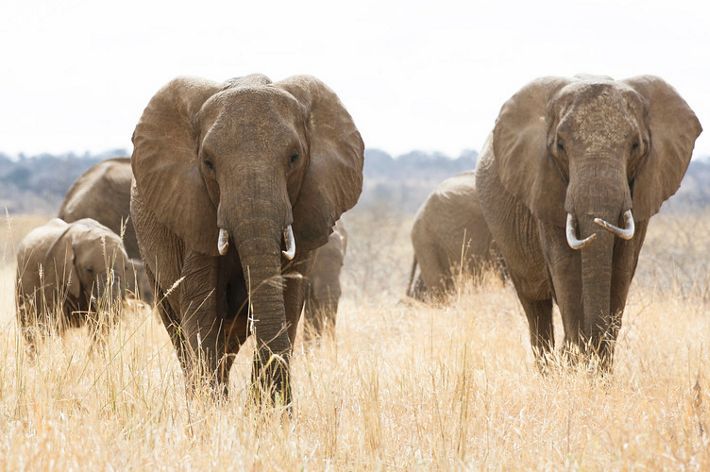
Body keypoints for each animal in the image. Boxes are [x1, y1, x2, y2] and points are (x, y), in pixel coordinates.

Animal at [15, 218, 130, 351]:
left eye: (126, 268)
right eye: (88, 269)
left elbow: (97, 326)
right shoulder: (53, 272)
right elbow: (56, 320)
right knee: (30, 329)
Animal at [130, 74, 364, 404]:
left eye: (294, 158)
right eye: (208, 162)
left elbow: (288, 298)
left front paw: (268, 411)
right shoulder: (193, 209)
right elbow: (201, 305)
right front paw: (212, 410)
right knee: (179, 331)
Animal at [475, 75, 701, 368]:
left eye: (636, 146)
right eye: (560, 146)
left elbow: (622, 267)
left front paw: (598, 369)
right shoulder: (544, 185)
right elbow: (566, 268)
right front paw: (577, 365)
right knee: (535, 304)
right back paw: (549, 368)